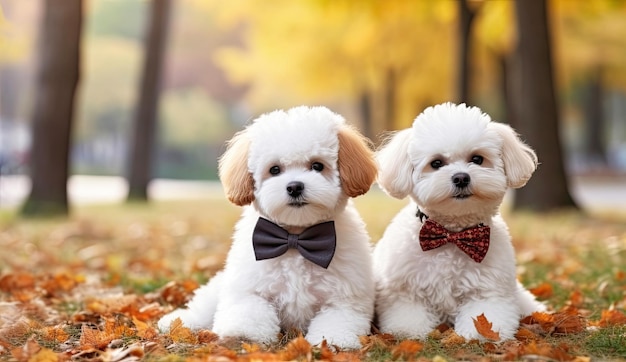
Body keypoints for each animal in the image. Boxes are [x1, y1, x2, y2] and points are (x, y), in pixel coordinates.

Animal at [158, 106, 378, 350]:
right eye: (275, 170)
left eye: (317, 166)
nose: (294, 187)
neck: (295, 237)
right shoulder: (248, 289)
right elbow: (250, 309)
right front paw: (243, 335)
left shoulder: (344, 299)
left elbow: (337, 319)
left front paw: (334, 340)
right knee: (202, 307)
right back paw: (178, 321)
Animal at [372, 102, 544, 342]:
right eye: (436, 163)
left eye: (477, 159)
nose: (461, 177)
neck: (452, 234)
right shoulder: (405, 291)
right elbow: (408, 317)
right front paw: (409, 332)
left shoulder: (488, 291)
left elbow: (486, 316)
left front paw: (476, 335)